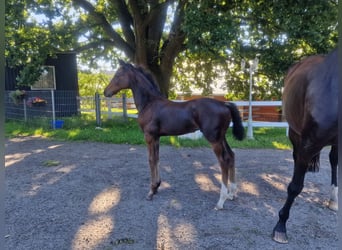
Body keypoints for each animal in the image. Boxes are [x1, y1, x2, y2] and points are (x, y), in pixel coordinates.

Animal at [103, 60, 244, 209]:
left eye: (118, 75)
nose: (106, 91)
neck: (149, 103)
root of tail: (225, 104)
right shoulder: (156, 137)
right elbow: (157, 159)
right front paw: (156, 187)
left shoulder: (149, 136)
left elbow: (151, 160)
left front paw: (151, 192)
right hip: (221, 137)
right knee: (231, 156)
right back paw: (232, 194)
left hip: (214, 138)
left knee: (223, 161)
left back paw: (221, 201)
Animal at [272, 49, 338, 243]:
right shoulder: (309, 143)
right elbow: (295, 186)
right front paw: (281, 226)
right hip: (295, 132)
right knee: (296, 157)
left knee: (333, 160)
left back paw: (333, 199)